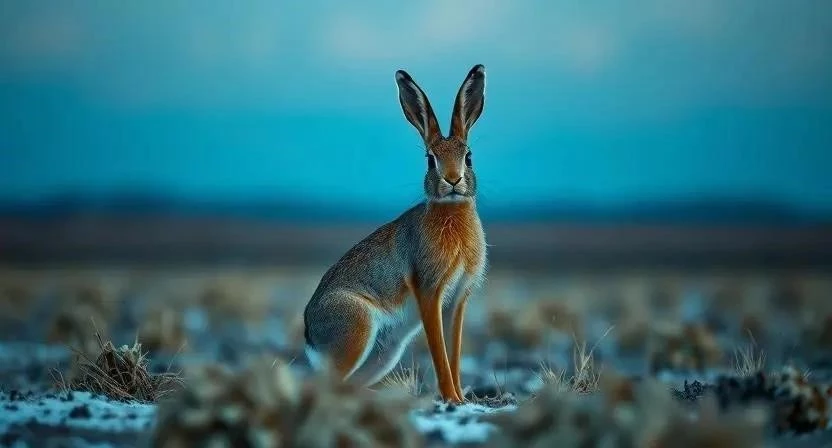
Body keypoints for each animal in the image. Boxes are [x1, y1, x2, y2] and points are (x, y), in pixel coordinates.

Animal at [303, 64, 487, 403]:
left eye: (469, 157)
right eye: (430, 160)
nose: (453, 180)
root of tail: (309, 332)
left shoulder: (457, 301)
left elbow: (453, 354)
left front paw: (461, 398)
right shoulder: (430, 290)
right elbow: (439, 353)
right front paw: (451, 398)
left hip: (385, 352)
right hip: (356, 328)